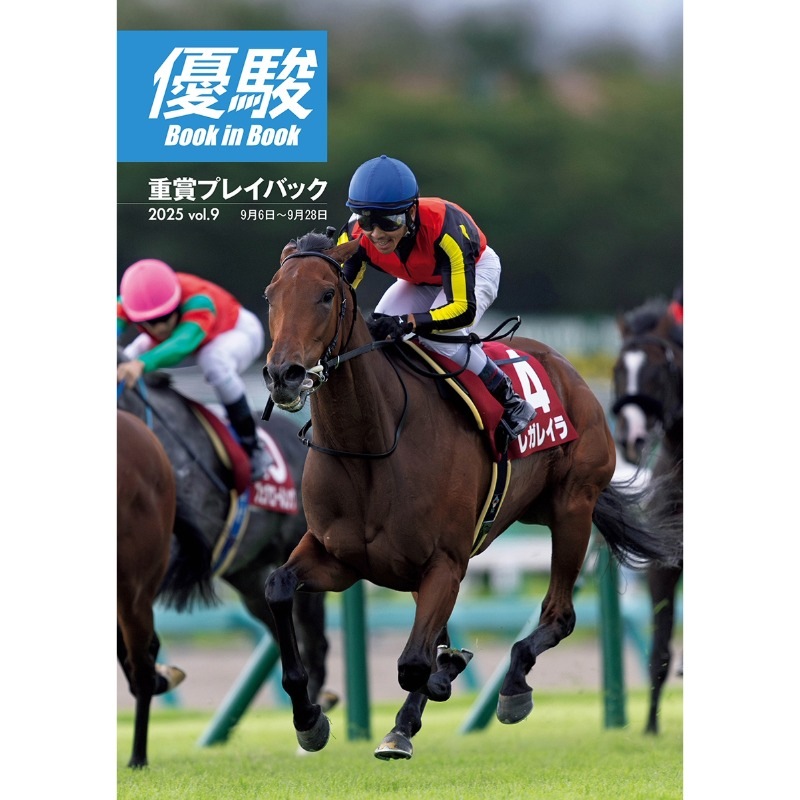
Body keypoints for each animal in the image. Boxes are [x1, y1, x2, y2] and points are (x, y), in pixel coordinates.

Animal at [260, 231, 683, 760]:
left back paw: (511, 687)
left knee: (560, 615)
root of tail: (568, 370)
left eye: (325, 295)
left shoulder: (445, 562)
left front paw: (423, 701)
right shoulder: (337, 558)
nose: (284, 374)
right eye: (271, 295)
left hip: (572, 509)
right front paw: (309, 718)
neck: (371, 448)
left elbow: (414, 664)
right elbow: (278, 587)